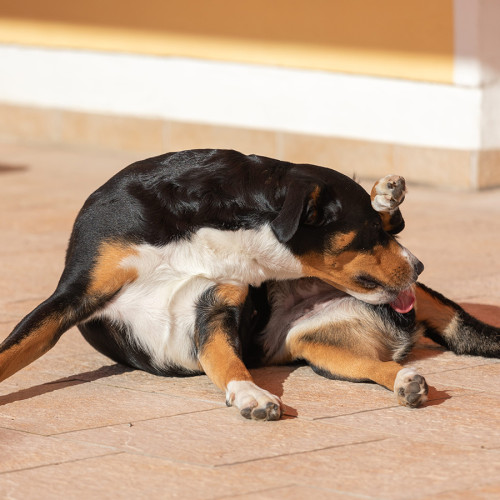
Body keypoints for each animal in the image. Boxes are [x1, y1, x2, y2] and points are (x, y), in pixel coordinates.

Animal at [0, 147, 498, 418]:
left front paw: (249, 395)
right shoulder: (73, 296)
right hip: (322, 348)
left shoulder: (214, 309)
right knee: (375, 366)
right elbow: (13, 350)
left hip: (325, 349)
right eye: (368, 234)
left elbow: (227, 361)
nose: (419, 267)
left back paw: (385, 194)